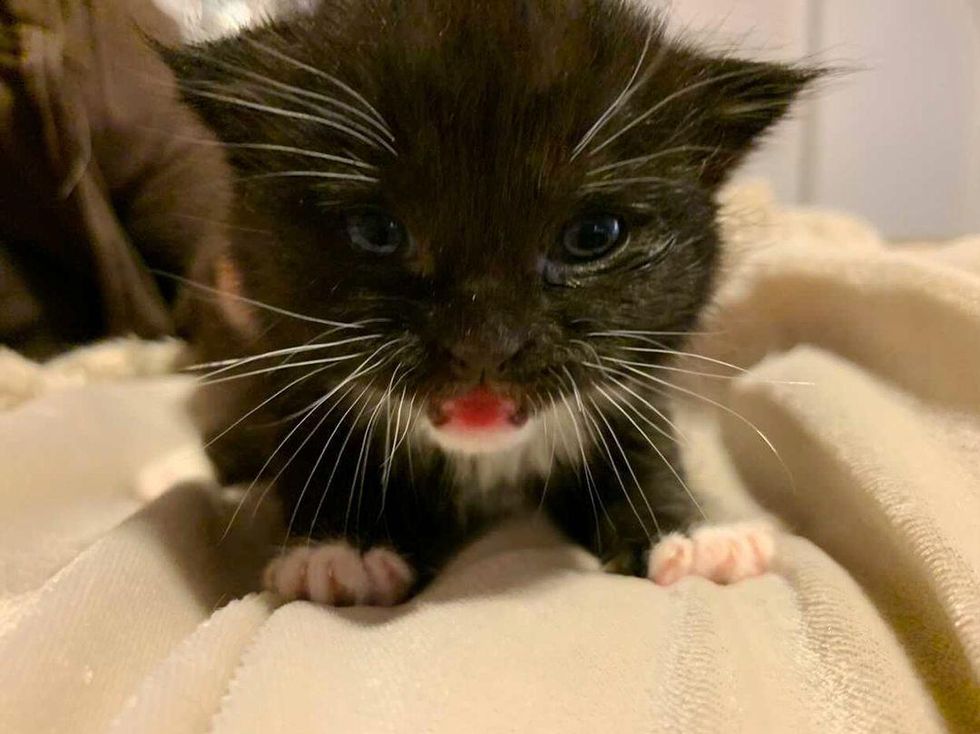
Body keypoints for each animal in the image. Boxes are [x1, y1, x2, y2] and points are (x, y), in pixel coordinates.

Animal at [165, 0, 816, 608]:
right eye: (377, 230)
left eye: (592, 235)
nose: (483, 345)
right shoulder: (293, 372)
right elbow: (320, 450)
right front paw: (340, 551)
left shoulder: (631, 392)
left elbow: (644, 454)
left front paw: (685, 536)